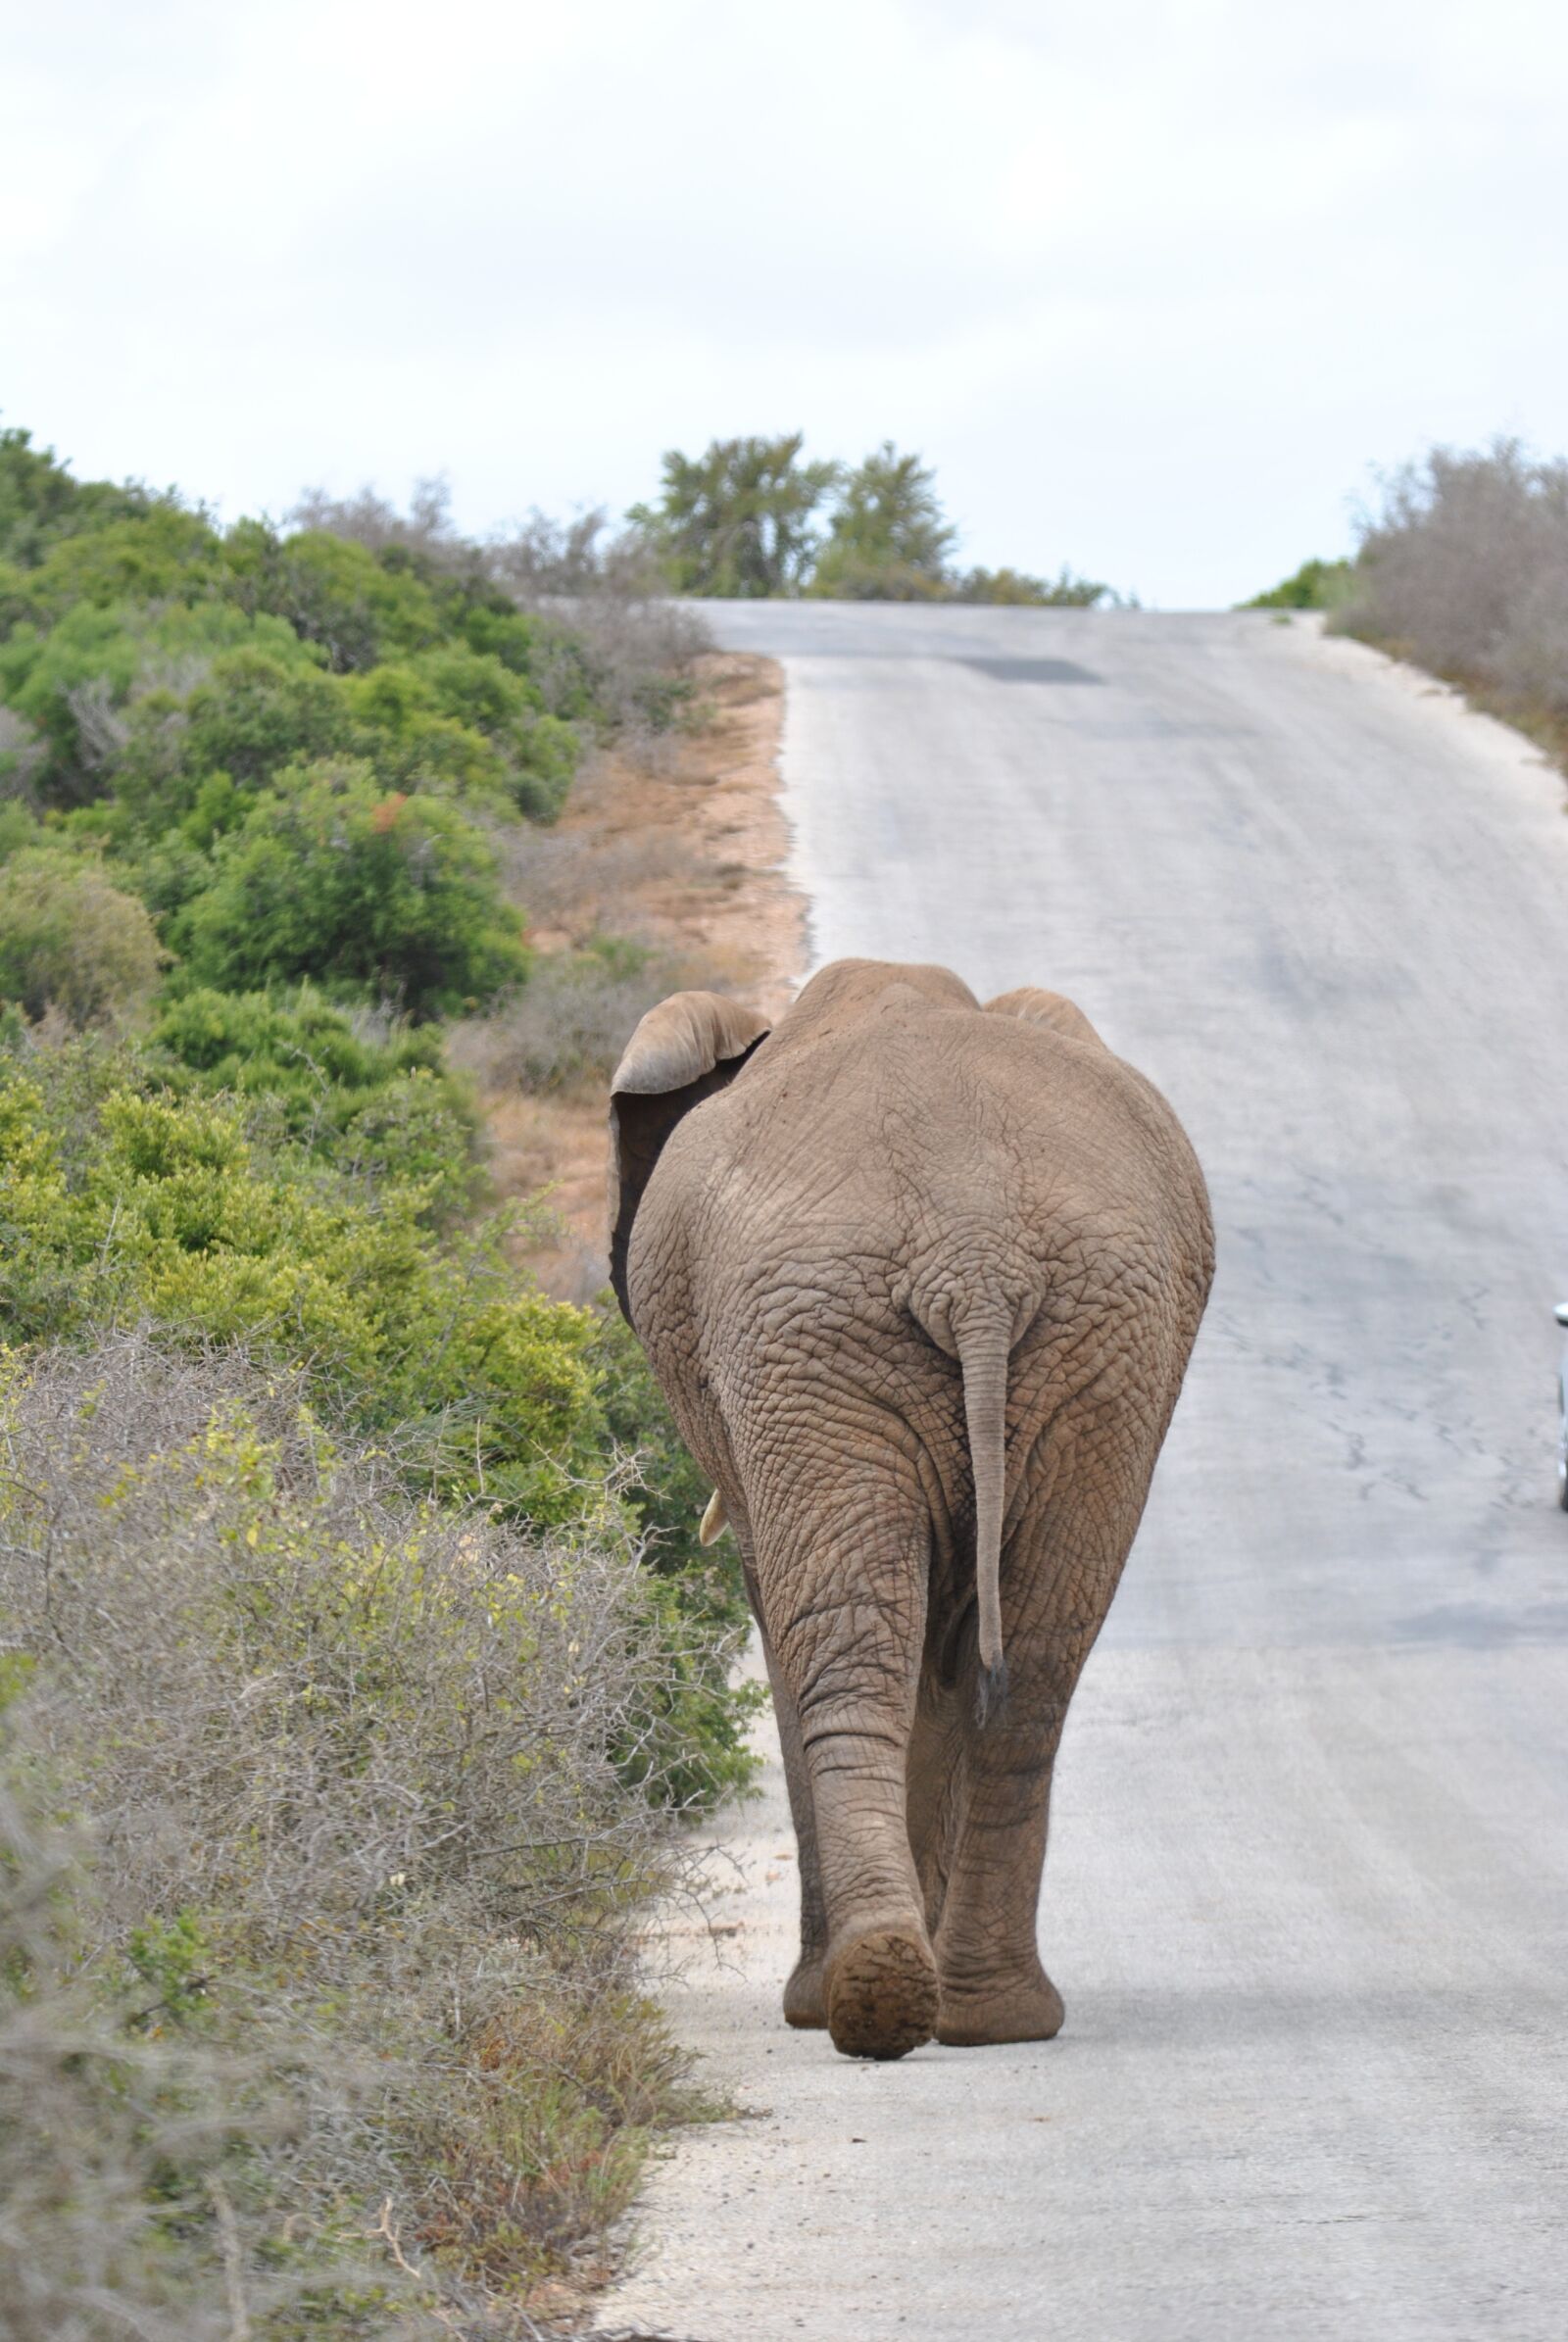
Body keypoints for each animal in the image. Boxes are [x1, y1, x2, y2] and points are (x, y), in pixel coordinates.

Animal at [608, 959, 1212, 2061]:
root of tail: (972, 1254)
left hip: (818, 1341)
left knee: (845, 1641)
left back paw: (864, 1999)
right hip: (1095, 1350)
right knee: (1032, 1658)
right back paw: (973, 2012)